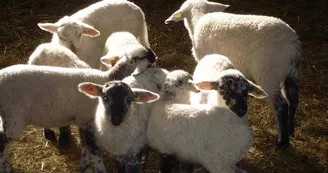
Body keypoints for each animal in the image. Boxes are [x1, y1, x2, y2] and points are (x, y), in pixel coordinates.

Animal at [0, 53, 154, 172]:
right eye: (136, 58)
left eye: (128, 99)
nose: (153, 58)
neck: (106, 78)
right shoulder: (87, 120)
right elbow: (92, 148)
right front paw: (99, 168)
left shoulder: (82, 120)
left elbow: (84, 145)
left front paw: (84, 166)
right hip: (13, 116)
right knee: (3, 142)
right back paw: (5, 167)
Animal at [165, 0, 302, 149]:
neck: (199, 18)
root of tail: (293, 46)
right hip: (291, 74)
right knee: (292, 100)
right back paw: (291, 130)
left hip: (269, 74)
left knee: (281, 105)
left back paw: (283, 142)